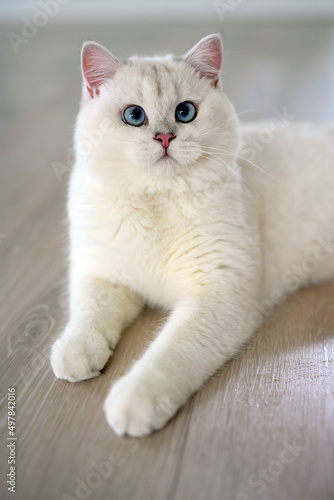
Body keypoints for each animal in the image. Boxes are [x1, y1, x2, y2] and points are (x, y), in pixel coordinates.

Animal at [51, 33, 334, 436]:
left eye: (185, 112)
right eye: (134, 116)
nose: (165, 137)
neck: (156, 199)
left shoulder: (216, 298)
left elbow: (167, 356)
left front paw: (133, 403)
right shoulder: (101, 274)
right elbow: (89, 313)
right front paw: (76, 353)